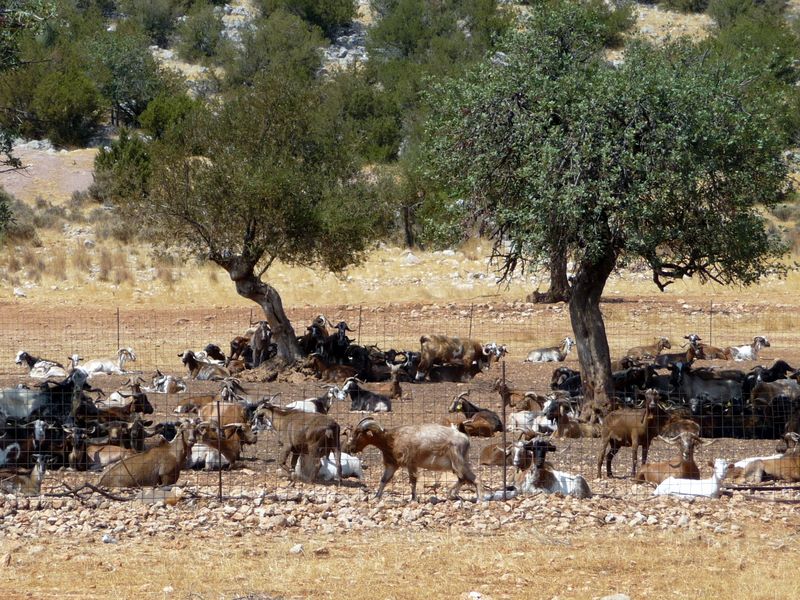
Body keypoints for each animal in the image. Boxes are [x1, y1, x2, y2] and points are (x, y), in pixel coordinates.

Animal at [343, 417, 483, 501]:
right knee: (462, 479)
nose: (350, 447)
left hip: (458, 461)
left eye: (359, 433)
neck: (391, 439)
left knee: (473, 479)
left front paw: (413, 499)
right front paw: (376, 497)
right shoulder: (392, 465)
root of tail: (465, 437)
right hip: (457, 464)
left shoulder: (410, 463)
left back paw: (479, 499)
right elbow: (384, 480)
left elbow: (412, 482)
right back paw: (451, 494)